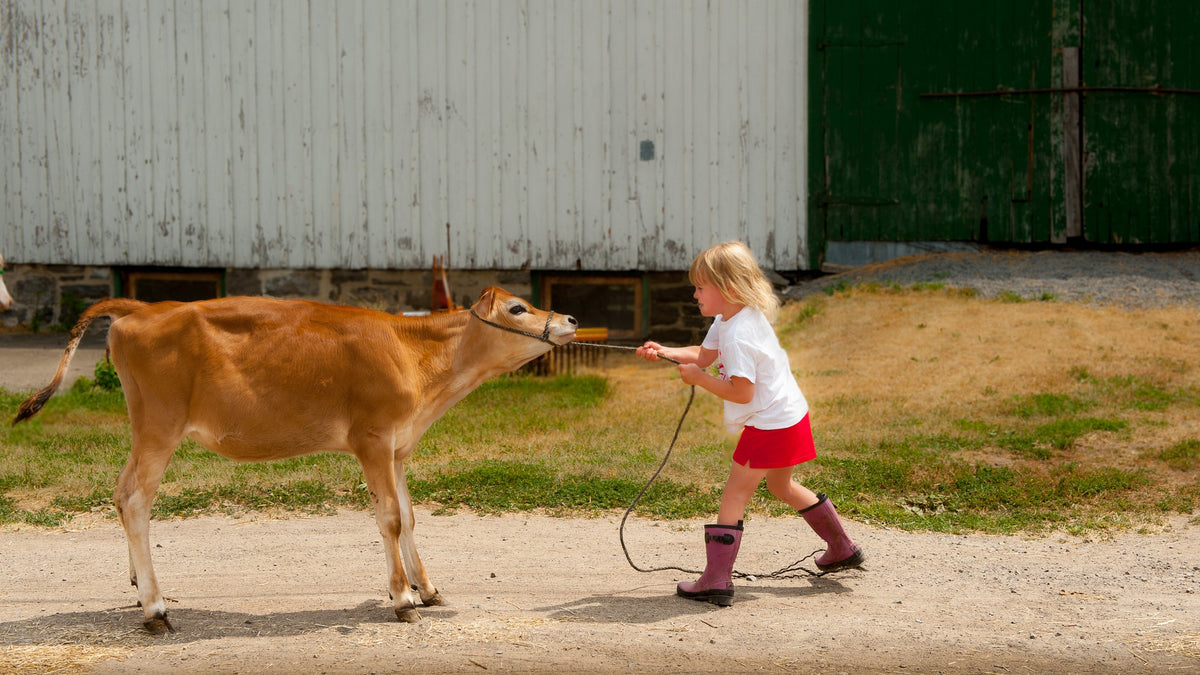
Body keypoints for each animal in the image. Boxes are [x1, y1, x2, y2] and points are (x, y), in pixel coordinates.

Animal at [14, 285, 576, 634]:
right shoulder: (372, 439)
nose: (570, 319)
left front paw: (428, 588)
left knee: (121, 494)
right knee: (134, 498)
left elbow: (410, 516)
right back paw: (155, 610)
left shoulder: (397, 444)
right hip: (159, 427)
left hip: (146, 428)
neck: (413, 353)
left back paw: (138, 589)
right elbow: (389, 520)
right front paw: (403, 600)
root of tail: (145, 307)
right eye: (518, 308)